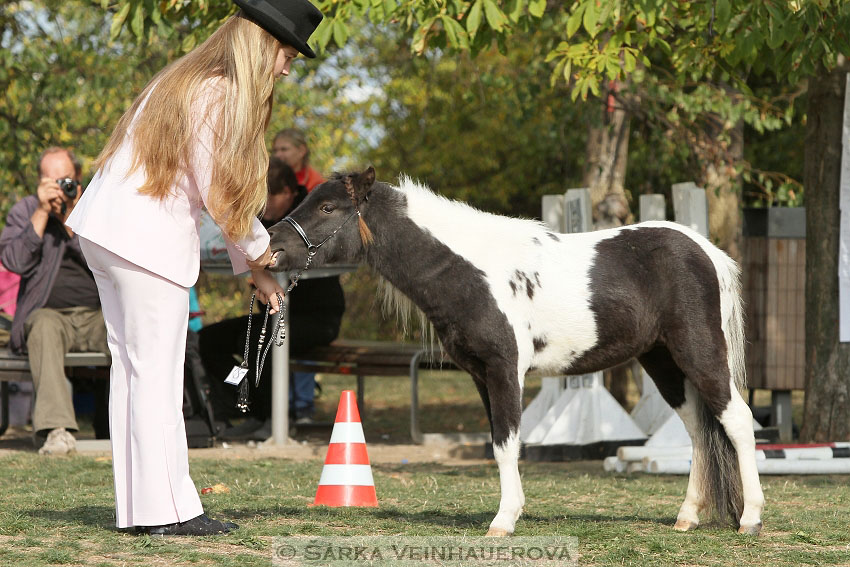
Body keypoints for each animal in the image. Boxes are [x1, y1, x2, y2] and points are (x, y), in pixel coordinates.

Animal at [268, 168, 764, 536]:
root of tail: (707, 251)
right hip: (662, 362)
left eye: (328, 207)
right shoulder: (478, 374)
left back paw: (750, 519)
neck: (471, 271)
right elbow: (497, 444)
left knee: (737, 422)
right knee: (699, 431)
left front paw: (503, 521)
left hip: (699, 352)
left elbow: (507, 444)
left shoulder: (505, 369)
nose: (272, 247)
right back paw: (687, 517)